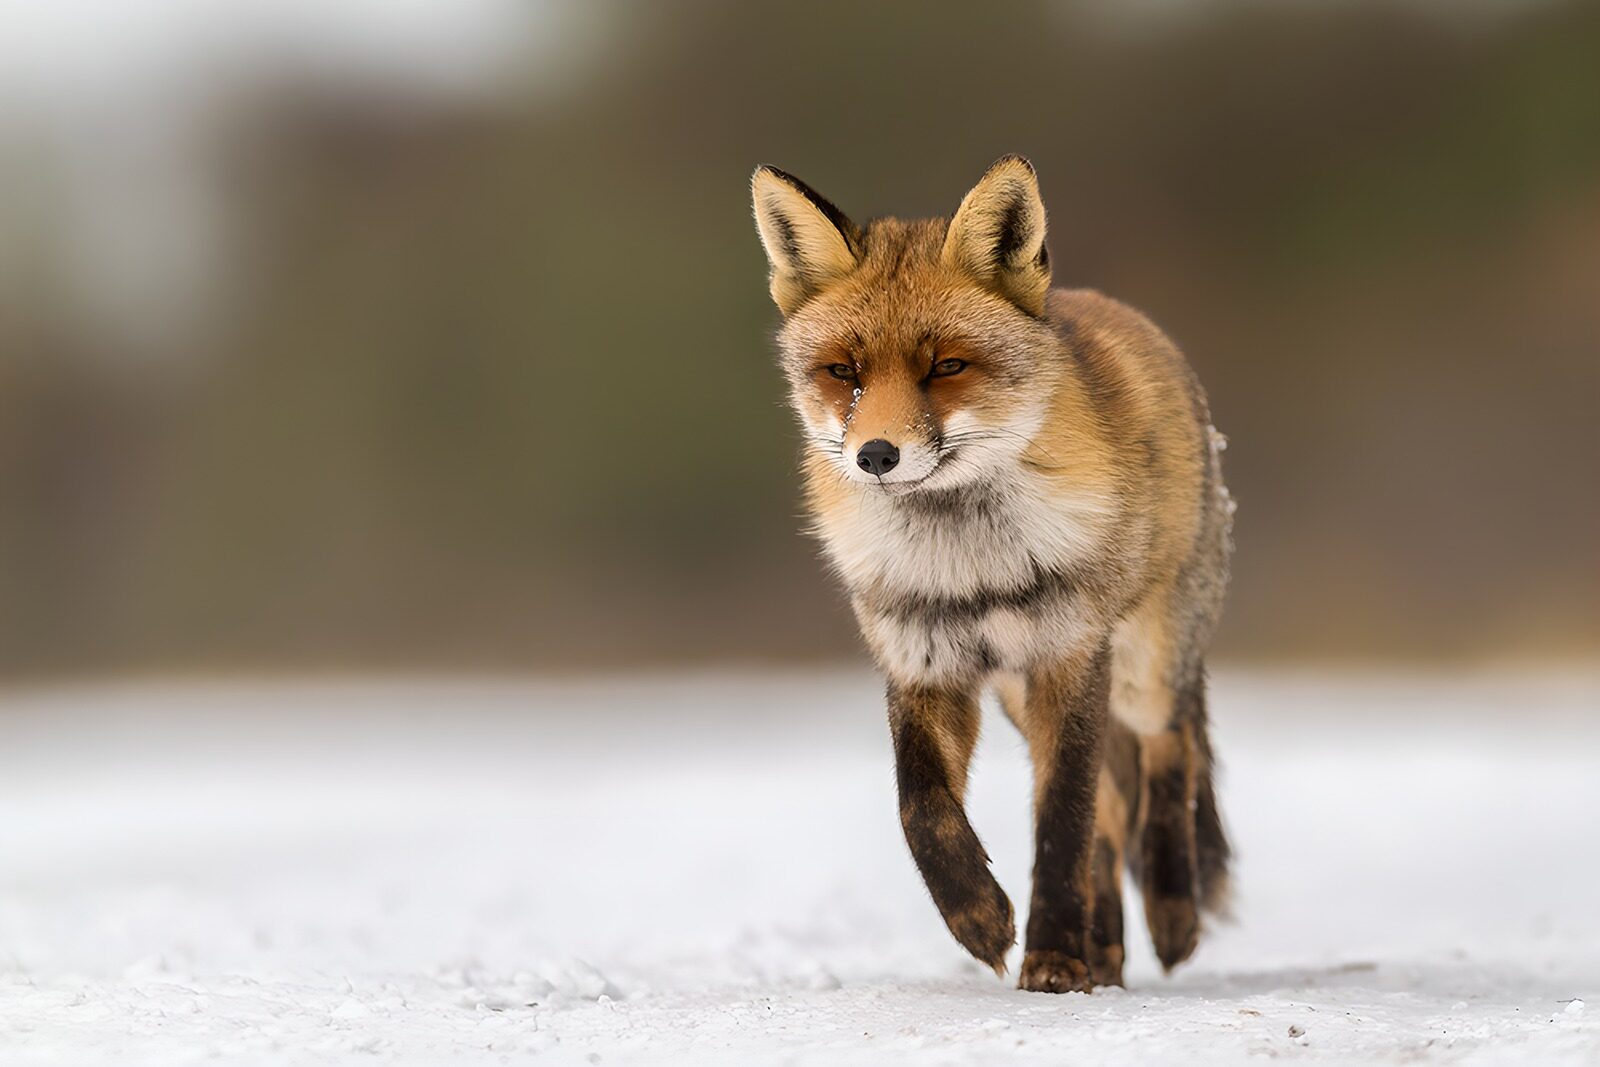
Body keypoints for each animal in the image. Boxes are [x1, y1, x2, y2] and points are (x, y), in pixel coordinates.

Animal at [749, 155, 1234, 993]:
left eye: (946, 366)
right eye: (843, 371)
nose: (876, 454)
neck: (966, 568)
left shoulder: (1069, 657)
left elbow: (1062, 822)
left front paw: (1054, 954)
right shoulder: (922, 661)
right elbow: (921, 808)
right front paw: (979, 918)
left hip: (1142, 667)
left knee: (1170, 753)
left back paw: (1169, 914)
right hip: (1020, 693)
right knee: (1116, 808)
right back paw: (1108, 953)